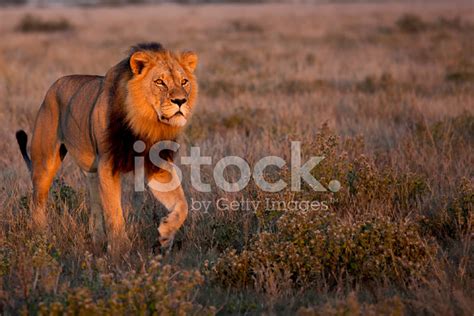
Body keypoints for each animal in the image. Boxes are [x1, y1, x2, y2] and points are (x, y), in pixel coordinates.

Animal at [15, 42, 198, 254]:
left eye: (184, 81)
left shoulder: (156, 167)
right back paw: (40, 237)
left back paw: (97, 239)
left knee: (95, 202)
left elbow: (182, 204)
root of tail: (54, 85)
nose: (180, 101)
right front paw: (120, 250)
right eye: (160, 82)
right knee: (37, 201)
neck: (143, 123)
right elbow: (114, 211)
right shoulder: (108, 164)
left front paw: (165, 235)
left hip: (91, 172)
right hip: (45, 162)